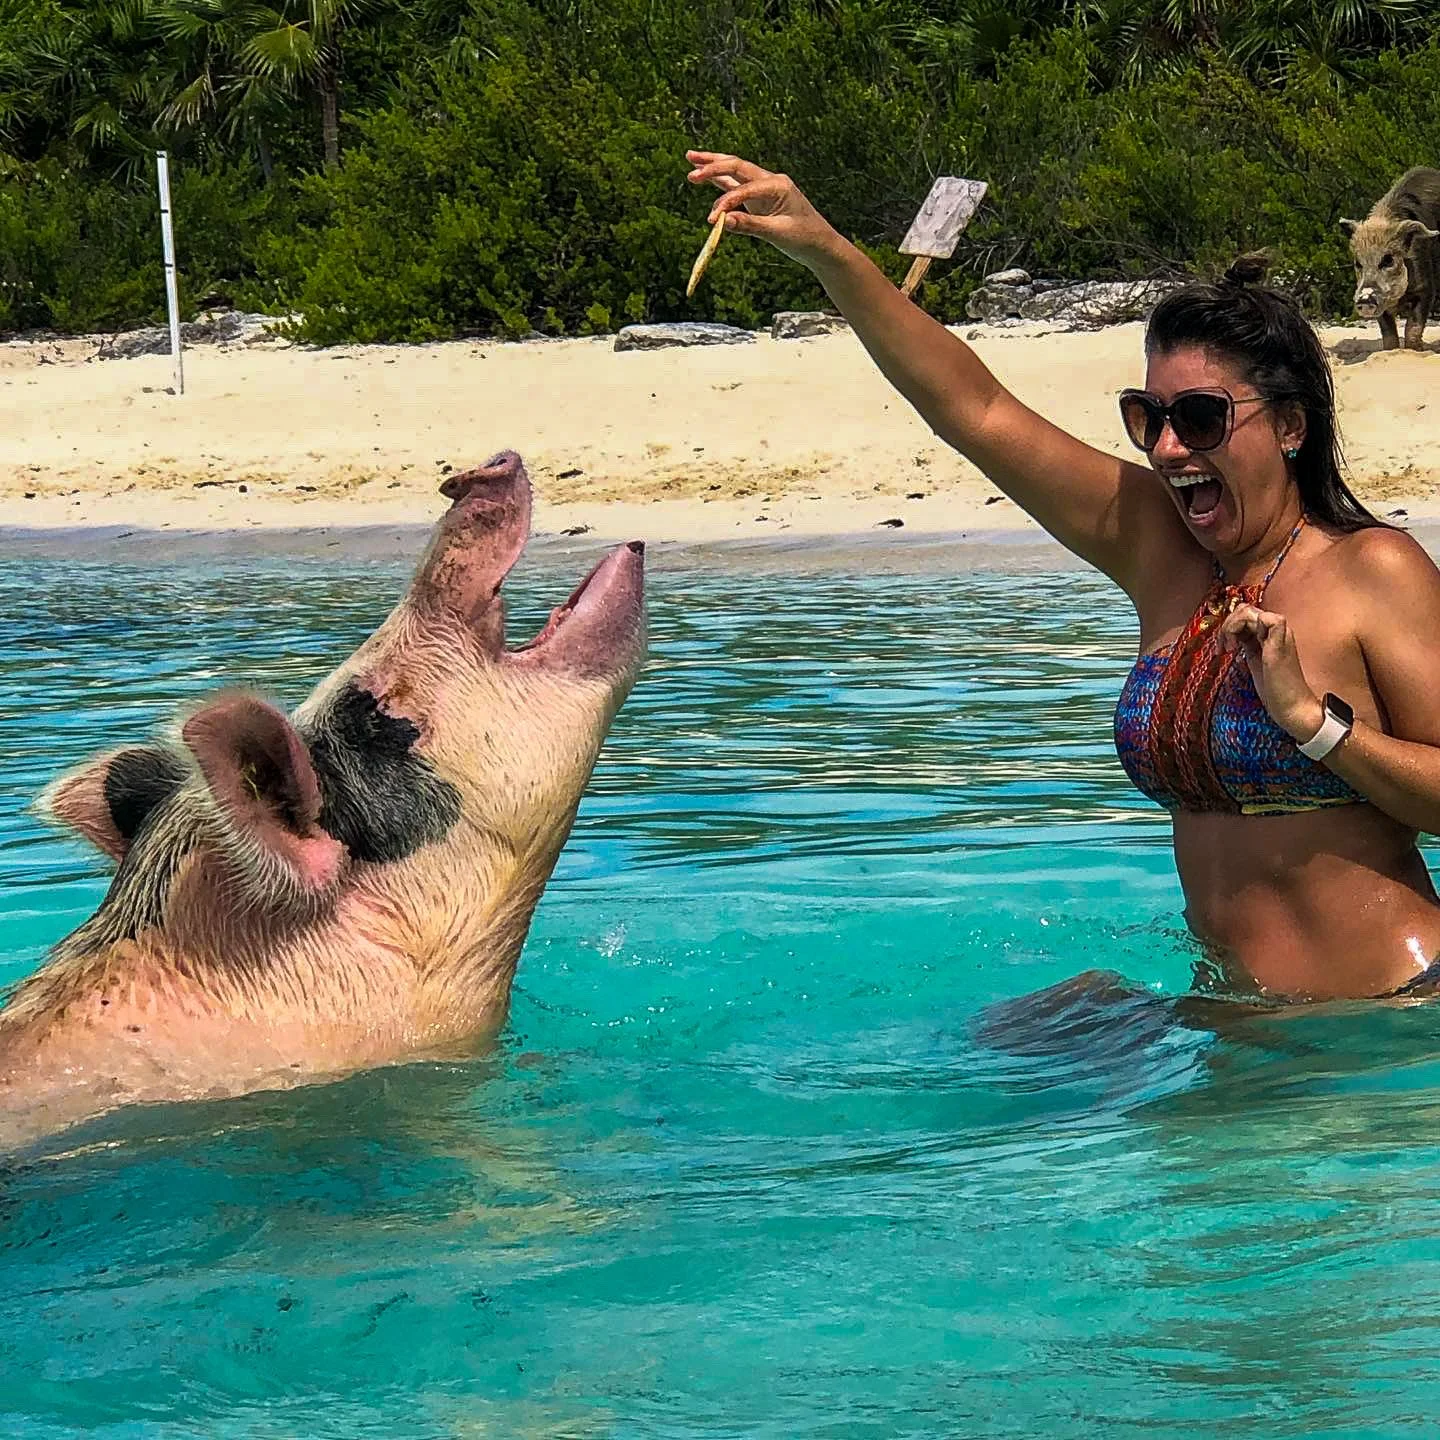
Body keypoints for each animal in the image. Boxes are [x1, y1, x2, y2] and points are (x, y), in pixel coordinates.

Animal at [1340, 167, 1440, 350]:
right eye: (1358, 263)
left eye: (1388, 260)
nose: (1365, 298)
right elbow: (1389, 334)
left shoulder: (1426, 288)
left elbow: (1413, 327)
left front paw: (1415, 350)